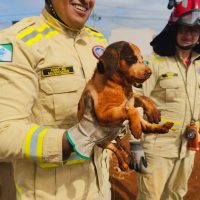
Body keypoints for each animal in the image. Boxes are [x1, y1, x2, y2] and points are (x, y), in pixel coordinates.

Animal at [77, 40, 173, 170]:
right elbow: (130, 110)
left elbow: (143, 97)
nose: (150, 72)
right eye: (131, 59)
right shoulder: (103, 113)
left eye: (142, 59)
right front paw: (136, 129)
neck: (120, 85)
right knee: (116, 148)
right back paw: (123, 163)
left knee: (146, 126)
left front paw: (153, 110)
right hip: (103, 142)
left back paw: (162, 127)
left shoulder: (131, 98)